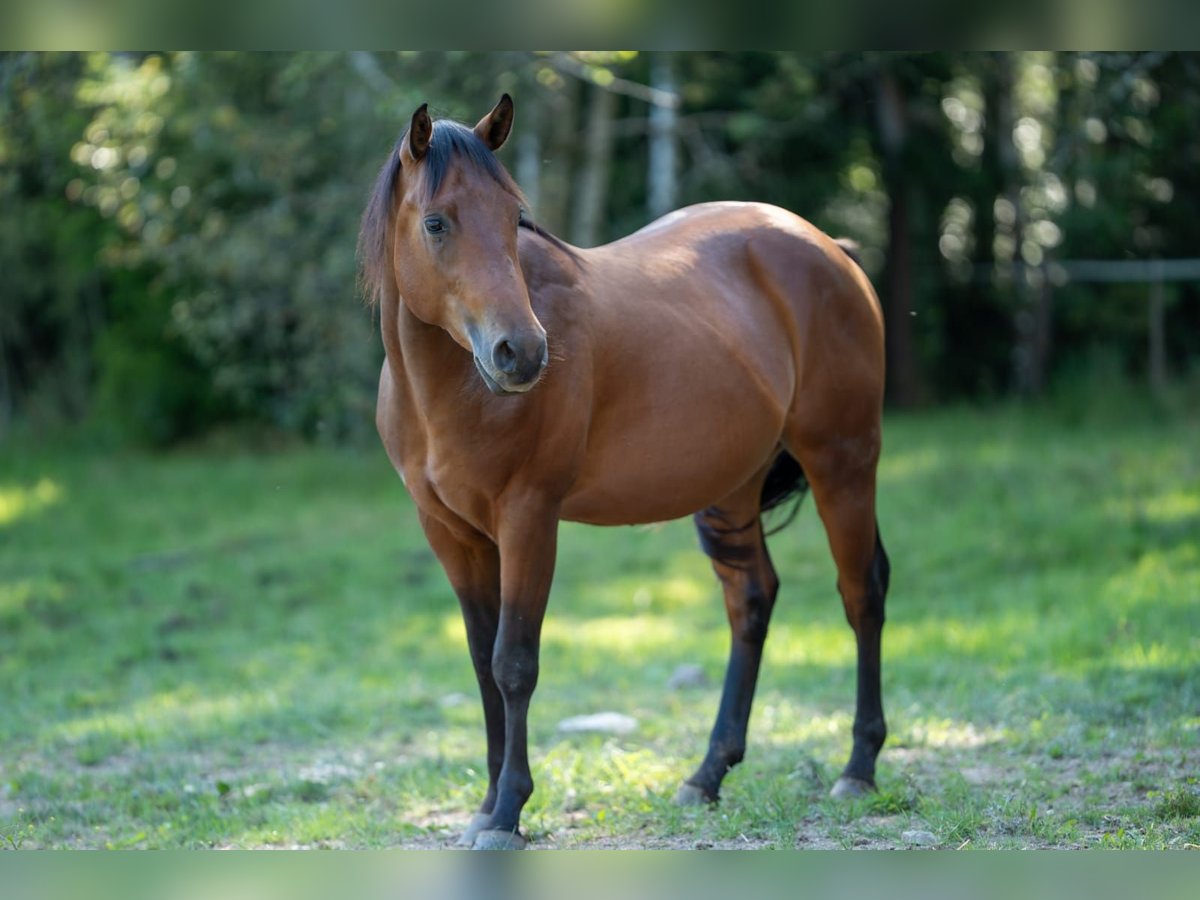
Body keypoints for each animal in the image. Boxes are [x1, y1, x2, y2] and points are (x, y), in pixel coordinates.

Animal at [357, 97, 892, 854]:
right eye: (436, 223)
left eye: (513, 217)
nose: (522, 353)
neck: (448, 392)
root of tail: (828, 249)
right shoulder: (452, 535)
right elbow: (482, 664)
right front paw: (486, 807)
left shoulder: (528, 519)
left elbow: (513, 664)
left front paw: (510, 811)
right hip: (732, 490)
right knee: (751, 601)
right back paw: (706, 775)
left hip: (843, 462)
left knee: (861, 594)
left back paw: (858, 768)